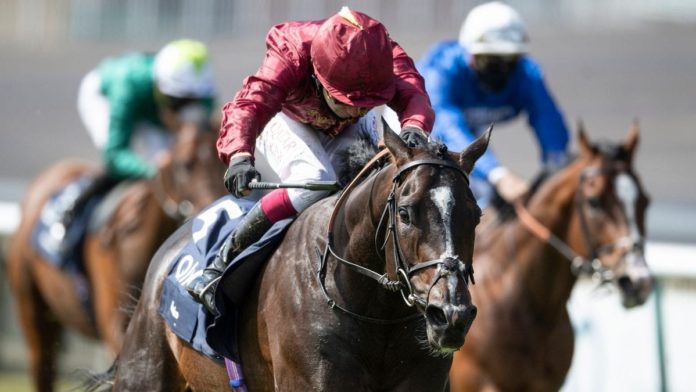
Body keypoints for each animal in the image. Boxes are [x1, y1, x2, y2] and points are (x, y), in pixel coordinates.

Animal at [6, 118, 227, 390]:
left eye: (221, 160)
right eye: (184, 163)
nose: (215, 210)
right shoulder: (116, 322)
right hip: (32, 313)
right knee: (42, 365)